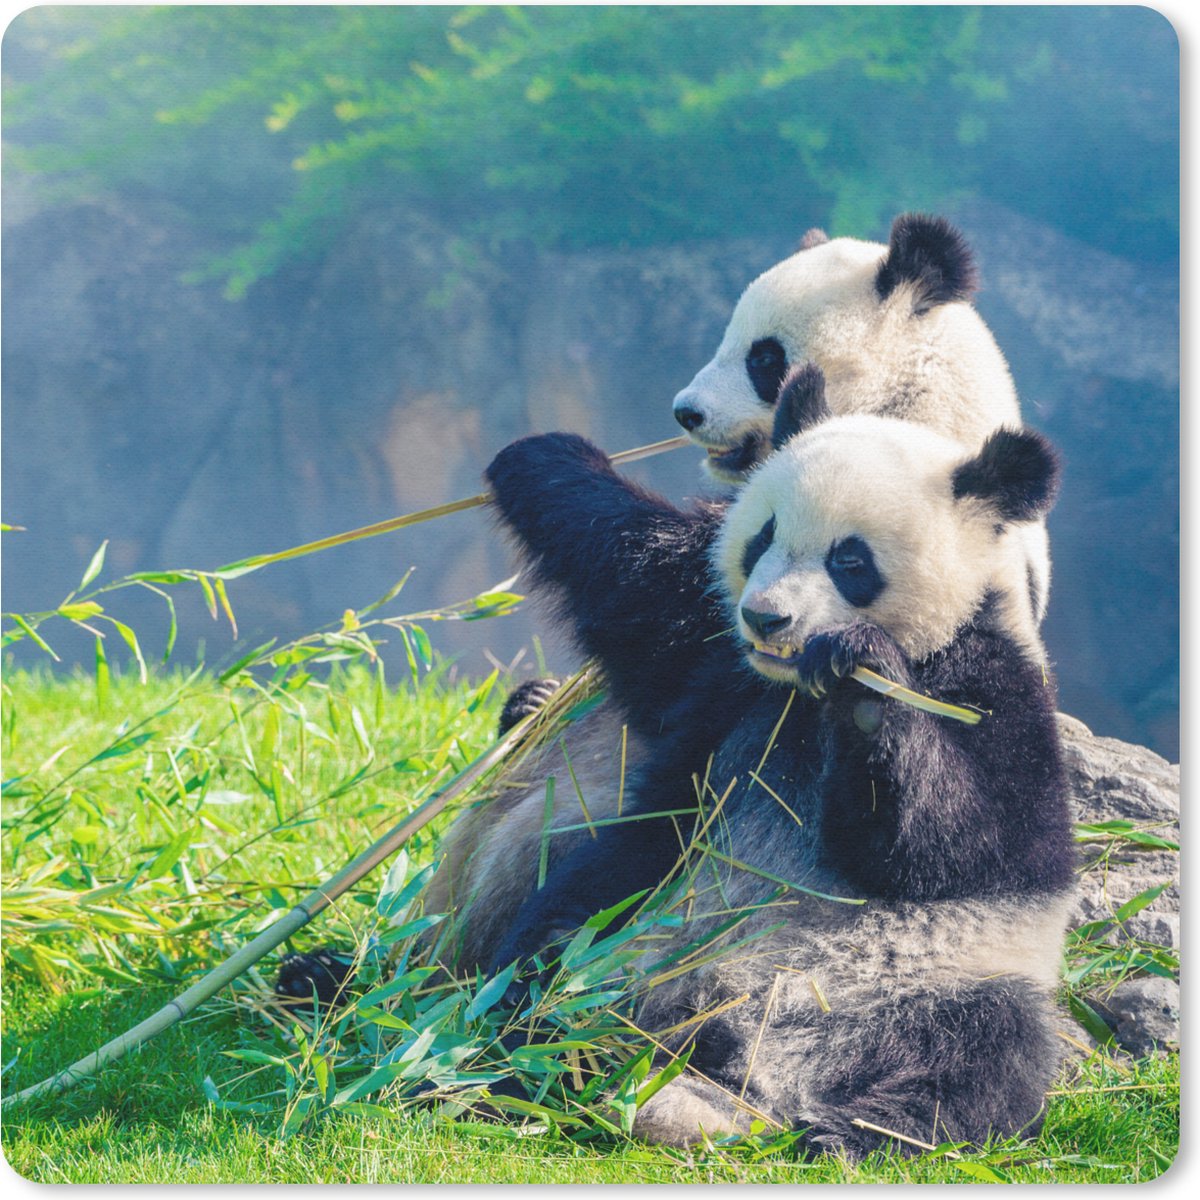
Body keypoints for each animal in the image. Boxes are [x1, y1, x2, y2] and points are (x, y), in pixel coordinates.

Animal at [480, 369, 1075, 1155]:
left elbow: (965, 844)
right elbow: (641, 589)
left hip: (938, 980)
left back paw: (851, 1130)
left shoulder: (994, 684)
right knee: (553, 949)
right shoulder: (724, 676)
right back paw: (523, 1057)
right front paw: (543, 456)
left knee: (989, 1053)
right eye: (762, 535)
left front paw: (863, 678)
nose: (766, 618)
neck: (799, 693)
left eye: (850, 560)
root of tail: (748, 1066)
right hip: (638, 912)